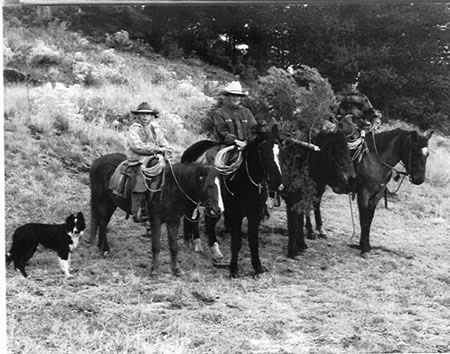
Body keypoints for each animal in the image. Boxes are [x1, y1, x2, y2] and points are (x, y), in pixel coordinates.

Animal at [89, 152, 222, 276]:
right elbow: (156, 246)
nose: (219, 209)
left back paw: (101, 246)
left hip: (111, 203)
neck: (170, 188)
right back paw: (105, 249)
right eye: (210, 185)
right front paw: (154, 269)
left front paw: (176, 269)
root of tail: (96, 162)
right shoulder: (156, 220)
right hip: (102, 200)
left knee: (102, 222)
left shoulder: (173, 221)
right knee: (102, 222)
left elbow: (174, 246)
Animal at [182, 131, 282, 278]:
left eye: (281, 152)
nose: (278, 182)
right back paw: (195, 242)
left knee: (208, 221)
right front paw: (233, 269)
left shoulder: (255, 215)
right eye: (263, 152)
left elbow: (254, 241)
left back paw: (214, 251)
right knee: (193, 217)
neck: (246, 180)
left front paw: (258, 267)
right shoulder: (236, 215)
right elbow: (236, 242)